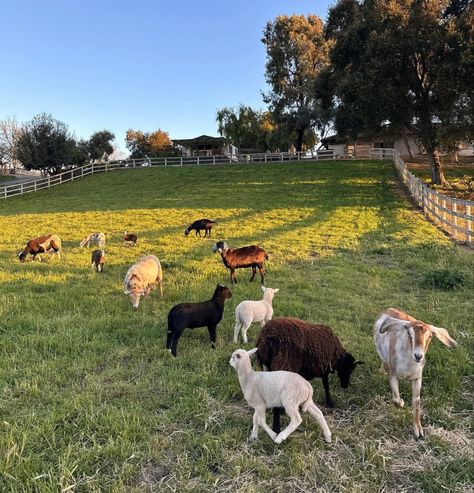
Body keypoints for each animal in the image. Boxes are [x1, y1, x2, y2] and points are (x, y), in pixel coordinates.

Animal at [376, 308, 458, 438]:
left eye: (430, 337)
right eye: (409, 334)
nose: (418, 356)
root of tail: (391, 309)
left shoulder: (417, 378)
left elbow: (416, 403)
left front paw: (419, 432)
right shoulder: (393, 374)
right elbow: (396, 400)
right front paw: (402, 402)